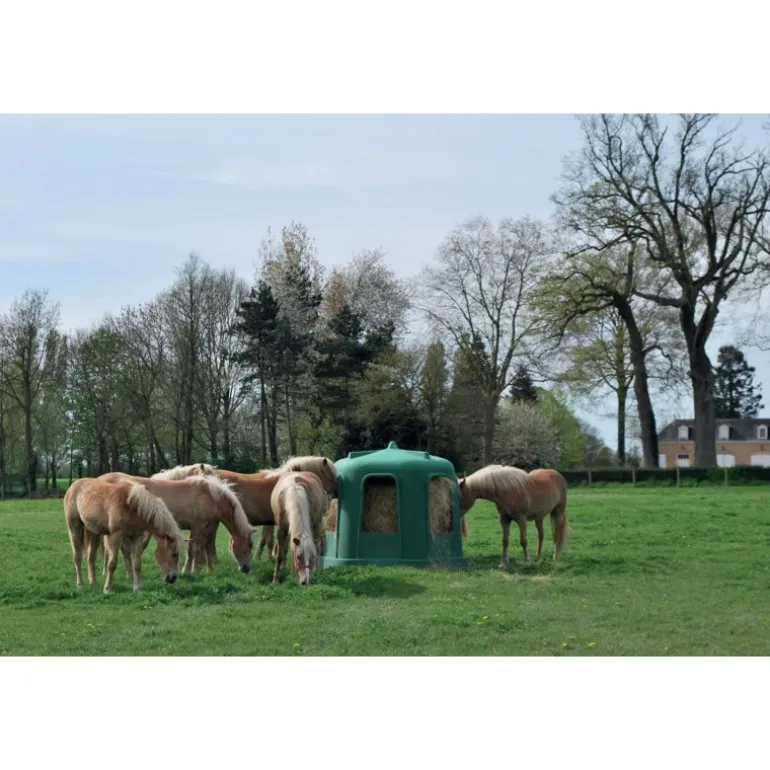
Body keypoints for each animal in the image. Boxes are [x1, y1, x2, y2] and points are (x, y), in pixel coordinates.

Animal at [98, 472, 255, 575]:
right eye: (249, 545)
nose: (247, 569)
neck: (209, 495)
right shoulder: (198, 526)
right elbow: (194, 550)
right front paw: (191, 571)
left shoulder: (200, 527)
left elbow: (198, 549)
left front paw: (195, 569)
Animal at [152, 456, 338, 562]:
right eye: (330, 475)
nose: (336, 492)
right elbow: (267, 541)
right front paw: (264, 558)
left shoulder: (269, 522)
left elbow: (267, 540)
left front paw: (264, 557)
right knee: (209, 541)